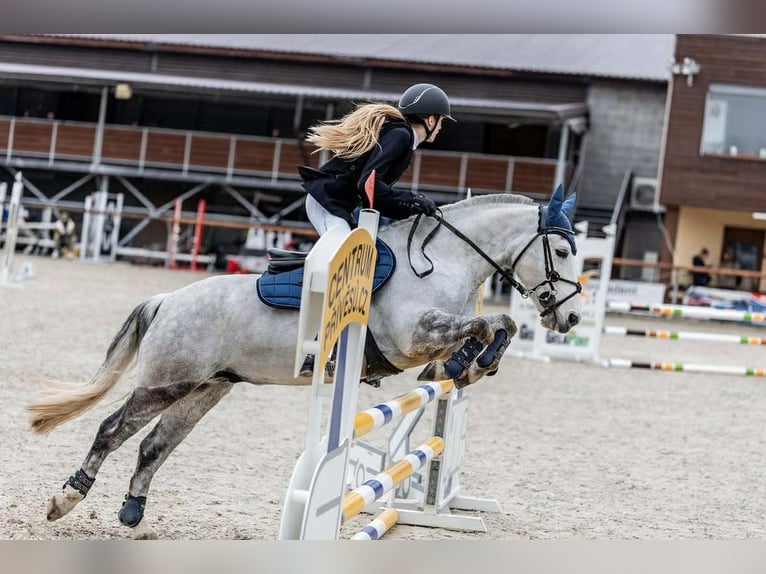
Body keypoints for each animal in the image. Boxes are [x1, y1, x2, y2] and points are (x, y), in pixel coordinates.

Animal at [26, 185, 583, 539]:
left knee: (152, 446)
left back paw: (133, 512)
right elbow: (487, 325)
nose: (572, 316)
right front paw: (468, 363)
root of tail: (167, 300)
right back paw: (65, 499)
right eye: (560, 251)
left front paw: (466, 367)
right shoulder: (414, 334)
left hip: (207, 388)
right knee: (112, 429)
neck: (442, 260)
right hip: (167, 382)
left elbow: (499, 326)